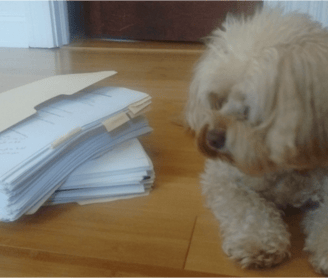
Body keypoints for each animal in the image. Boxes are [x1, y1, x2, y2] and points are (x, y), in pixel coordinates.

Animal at [184, 5, 328, 274]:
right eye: (218, 99)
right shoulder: (225, 179)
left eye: (248, 108)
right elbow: (248, 208)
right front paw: (258, 242)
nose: (211, 138)